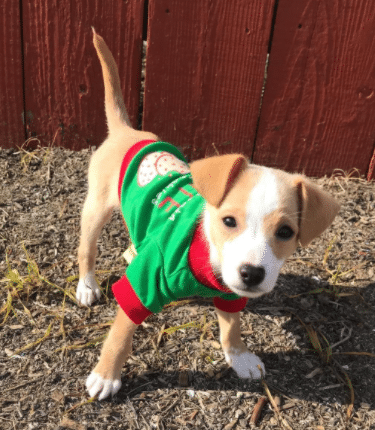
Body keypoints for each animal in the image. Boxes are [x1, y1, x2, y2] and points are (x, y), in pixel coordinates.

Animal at [76, 29, 340, 400]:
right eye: (229, 221)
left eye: (286, 232)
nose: (251, 274)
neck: (206, 257)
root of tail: (128, 132)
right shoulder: (139, 288)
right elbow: (121, 334)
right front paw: (105, 375)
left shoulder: (230, 295)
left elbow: (231, 327)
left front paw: (239, 356)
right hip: (96, 208)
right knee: (87, 249)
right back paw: (86, 285)